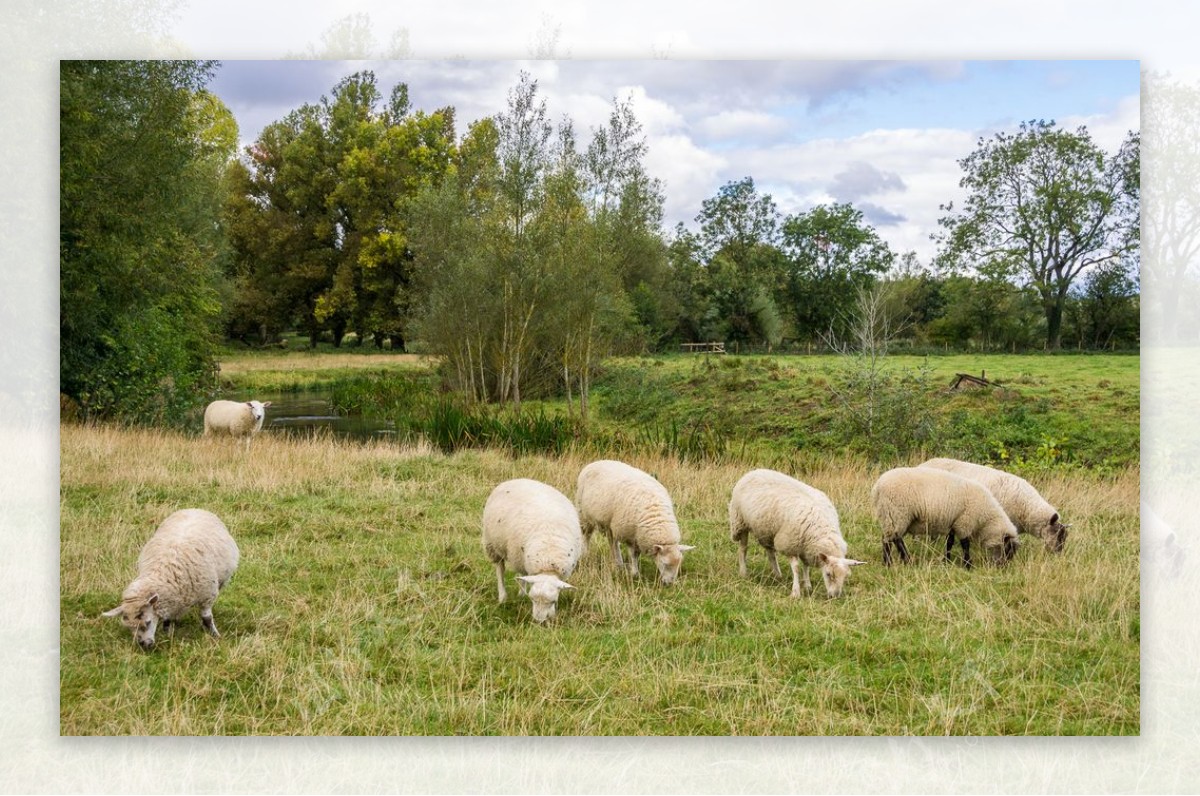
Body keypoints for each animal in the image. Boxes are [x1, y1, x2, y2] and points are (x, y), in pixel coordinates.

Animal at [105, 506, 241, 653]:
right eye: (129, 627)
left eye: (148, 622)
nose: (144, 645)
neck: (164, 573)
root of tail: (194, 509)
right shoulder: (171, 599)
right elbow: (167, 618)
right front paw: (167, 633)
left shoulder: (207, 595)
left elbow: (207, 618)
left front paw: (215, 635)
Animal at [482, 480, 585, 624]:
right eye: (532, 599)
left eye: (553, 601)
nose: (538, 621)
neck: (548, 561)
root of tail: (517, 479)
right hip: (493, 545)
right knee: (500, 569)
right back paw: (503, 596)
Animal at [724, 468, 868, 597]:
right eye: (828, 574)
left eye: (845, 576)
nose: (835, 596)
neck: (822, 530)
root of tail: (754, 471)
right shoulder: (790, 544)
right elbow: (796, 568)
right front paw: (796, 591)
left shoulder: (807, 547)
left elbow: (806, 566)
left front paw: (808, 586)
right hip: (740, 522)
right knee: (743, 549)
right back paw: (744, 572)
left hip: (768, 530)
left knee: (770, 553)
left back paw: (778, 575)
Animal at [868, 468, 1017, 573]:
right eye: (1007, 550)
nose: (1002, 568)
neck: (986, 518)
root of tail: (876, 488)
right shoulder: (964, 523)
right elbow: (965, 545)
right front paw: (968, 565)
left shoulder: (954, 523)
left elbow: (949, 543)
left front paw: (946, 561)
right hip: (896, 514)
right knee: (894, 539)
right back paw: (901, 562)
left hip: (889, 515)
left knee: (889, 539)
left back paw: (890, 562)